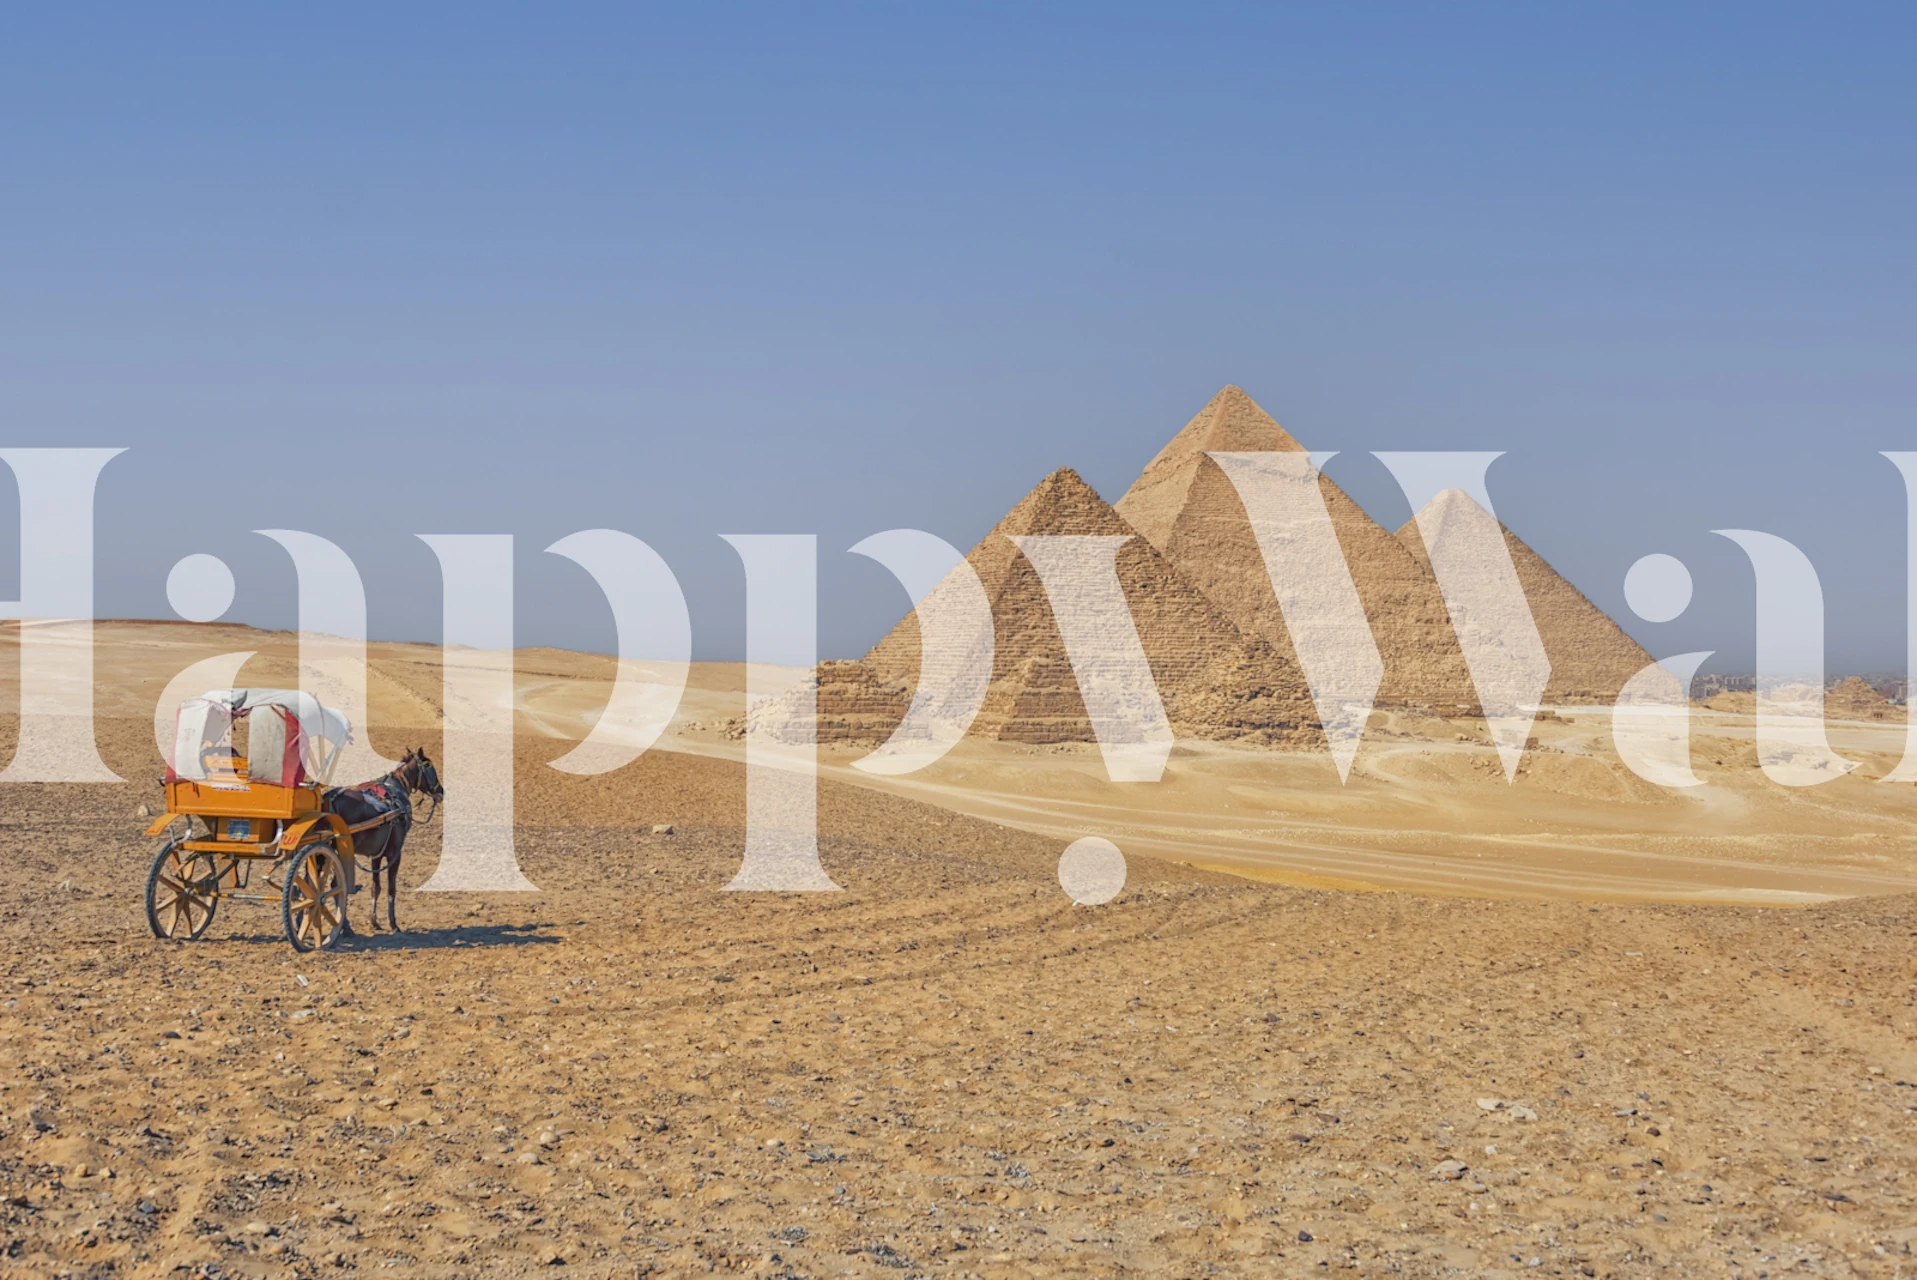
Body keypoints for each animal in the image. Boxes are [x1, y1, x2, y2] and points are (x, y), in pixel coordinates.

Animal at [325, 747, 442, 934]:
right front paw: (393, 923)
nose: (442, 792)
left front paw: (374, 920)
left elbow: (376, 887)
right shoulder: (395, 855)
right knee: (336, 884)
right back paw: (345, 927)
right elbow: (391, 888)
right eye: (429, 767)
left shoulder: (376, 855)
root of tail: (332, 798)